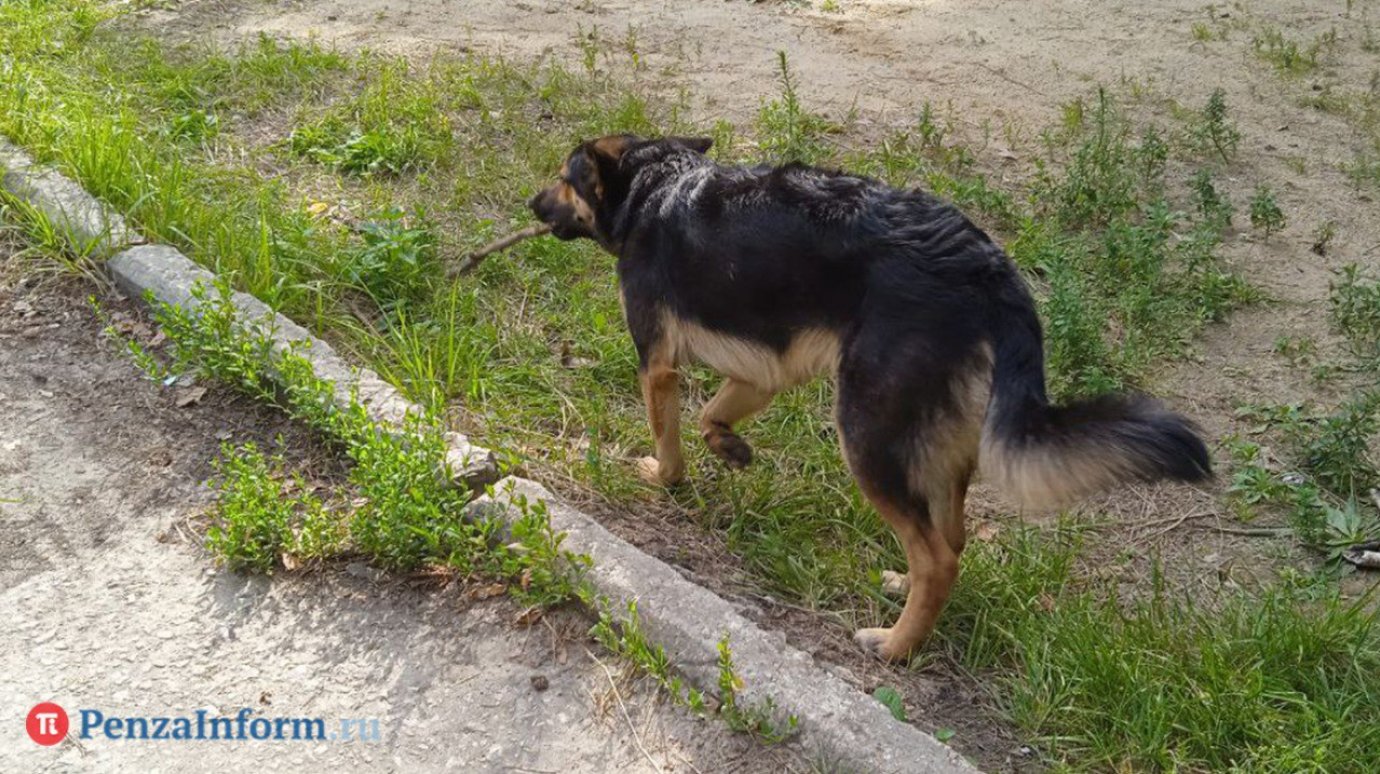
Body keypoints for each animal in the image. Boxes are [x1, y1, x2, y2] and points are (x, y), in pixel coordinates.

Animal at [527, 135, 1208, 662]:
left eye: (563, 177)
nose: (531, 203)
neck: (656, 181)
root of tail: (990, 271)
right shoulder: (763, 368)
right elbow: (709, 414)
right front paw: (730, 447)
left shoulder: (657, 363)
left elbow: (669, 435)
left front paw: (661, 475)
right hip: (934, 446)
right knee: (949, 538)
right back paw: (903, 590)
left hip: (866, 434)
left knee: (939, 558)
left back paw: (895, 646)